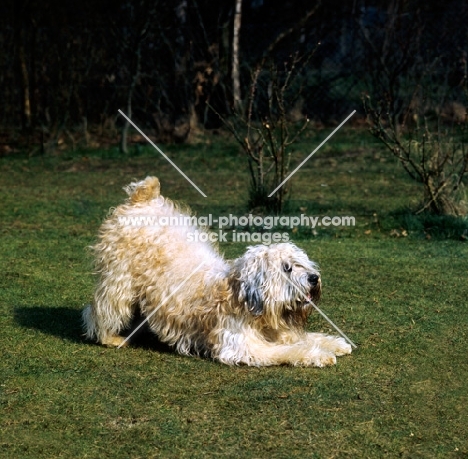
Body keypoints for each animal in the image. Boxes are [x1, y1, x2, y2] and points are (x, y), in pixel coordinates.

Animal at [83, 176, 352, 366]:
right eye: (287, 268)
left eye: (302, 263)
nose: (314, 278)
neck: (242, 298)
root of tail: (142, 198)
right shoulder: (244, 347)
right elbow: (290, 350)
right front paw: (319, 355)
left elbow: (306, 337)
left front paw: (335, 343)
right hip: (119, 280)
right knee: (100, 309)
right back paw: (109, 337)